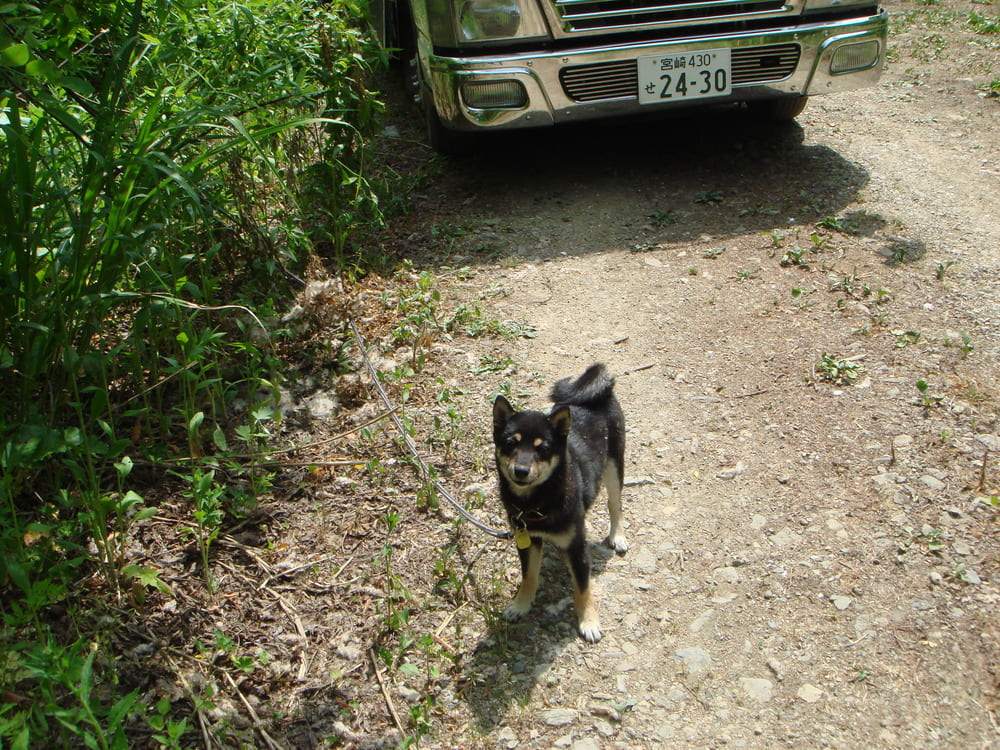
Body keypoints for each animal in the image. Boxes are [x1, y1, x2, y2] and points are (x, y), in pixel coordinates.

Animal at [490, 366, 624, 648]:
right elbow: (529, 575)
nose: (521, 470)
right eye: (511, 443)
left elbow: (582, 588)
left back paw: (617, 535)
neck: (536, 502)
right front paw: (521, 603)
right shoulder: (527, 540)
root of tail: (599, 394)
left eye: (543, 448)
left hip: (614, 467)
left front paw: (588, 621)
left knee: (615, 504)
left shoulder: (577, 548)